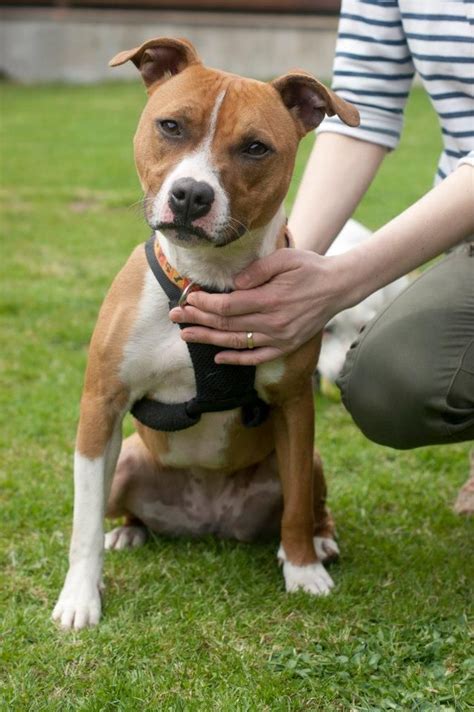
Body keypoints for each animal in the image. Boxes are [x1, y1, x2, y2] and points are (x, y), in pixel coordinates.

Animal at [51, 39, 362, 628]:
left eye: (256, 148)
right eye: (171, 126)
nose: (192, 195)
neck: (206, 281)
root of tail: (209, 519)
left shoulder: (294, 406)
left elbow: (294, 509)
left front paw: (304, 571)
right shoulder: (101, 405)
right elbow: (83, 526)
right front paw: (79, 597)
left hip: (309, 461)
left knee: (309, 505)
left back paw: (319, 543)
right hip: (127, 462)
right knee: (118, 509)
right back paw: (129, 532)